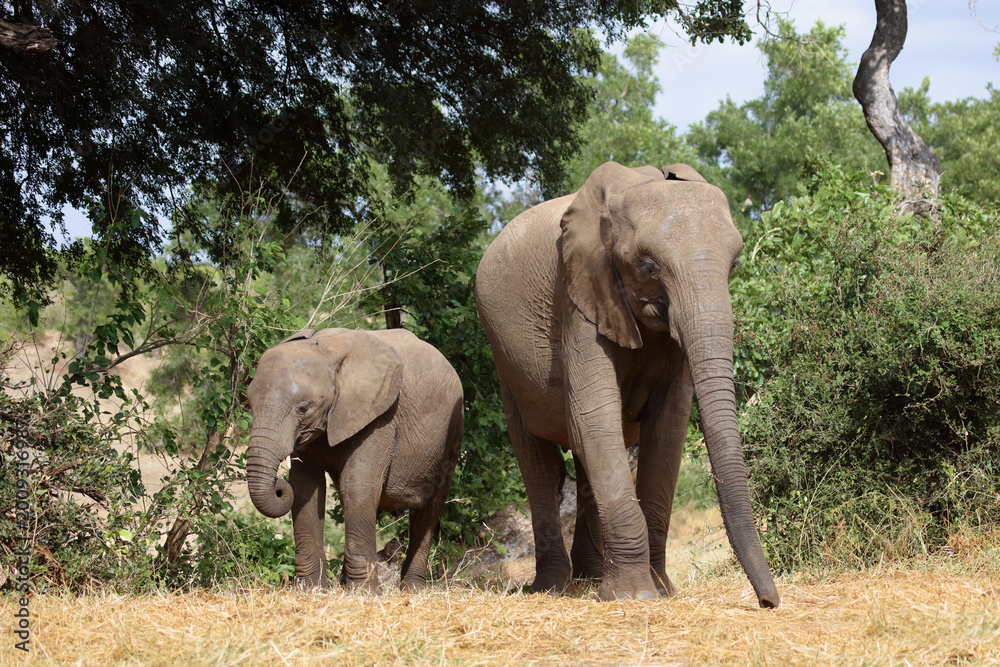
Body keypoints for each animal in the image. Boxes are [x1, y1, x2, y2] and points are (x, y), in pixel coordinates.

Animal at [245, 327, 463, 592]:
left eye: (303, 408)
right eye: (249, 404)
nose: (278, 485)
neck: (327, 349)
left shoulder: (380, 416)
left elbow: (358, 484)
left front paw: (363, 592)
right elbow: (305, 488)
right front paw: (310, 589)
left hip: (451, 435)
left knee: (428, 512)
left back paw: (412, 589)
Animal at [475, 161, 780, 606]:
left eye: (735, 264)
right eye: (649, 266)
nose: (767, 602)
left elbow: (665, 431)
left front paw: (659, 589)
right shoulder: (578, 296)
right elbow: (594, 418)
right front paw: (634, 596)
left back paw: (590, 579)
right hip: (504, 361)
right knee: (541, 464)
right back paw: (553, 588)